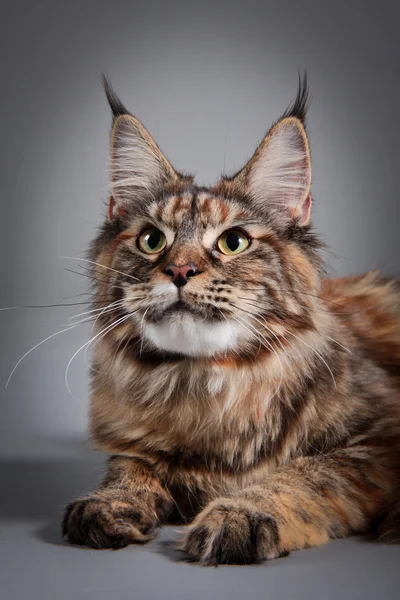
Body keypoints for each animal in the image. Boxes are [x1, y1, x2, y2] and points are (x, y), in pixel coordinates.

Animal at [61, 74, 400, 564]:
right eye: (151, 240)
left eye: (233, 242)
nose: (180, 271)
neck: (205, 385)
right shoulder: (131, 445)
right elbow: (128, 468)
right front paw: (109, 502)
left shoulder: (376, 444)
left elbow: (302, 475)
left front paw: (238, 513)